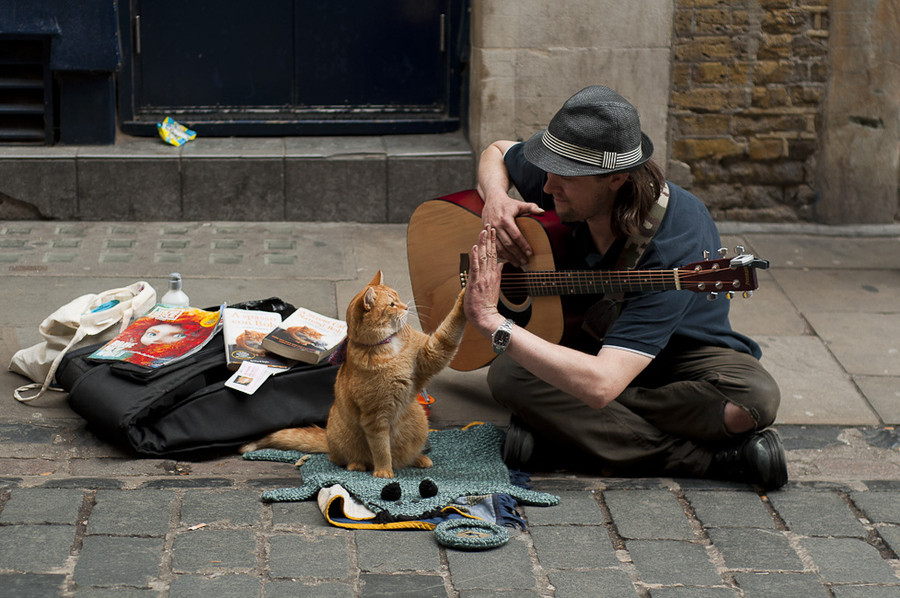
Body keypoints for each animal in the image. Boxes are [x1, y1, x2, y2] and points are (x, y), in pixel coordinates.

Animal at [241, 270, 464, 478]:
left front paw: (465, 296)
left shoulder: (432, 354)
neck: (388, 346)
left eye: (398, 297)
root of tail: (327, 438)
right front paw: (384, 471)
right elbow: (381, 449)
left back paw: (418, 458)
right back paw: (357, 465)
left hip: (418, 419)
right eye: (392, 304)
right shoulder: (375, 417)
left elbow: (449, 331)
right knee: (345, 458)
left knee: (405, 456)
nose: (407, 307)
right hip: (345, 441)